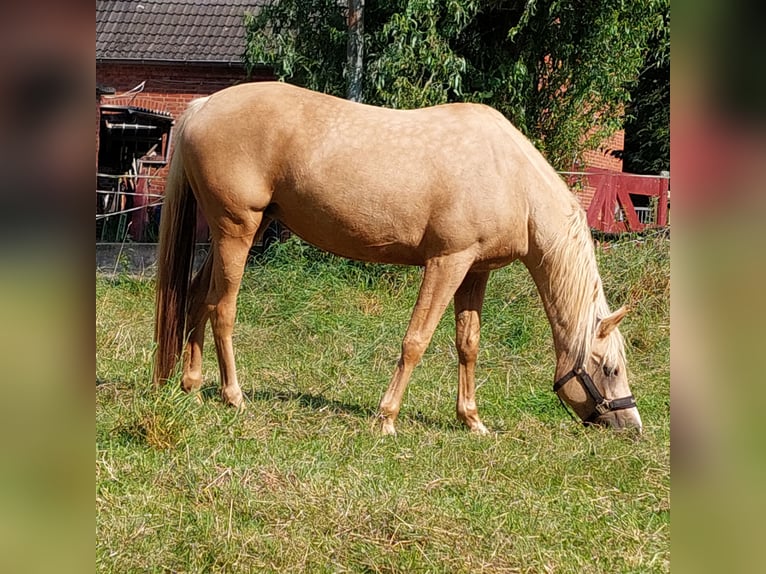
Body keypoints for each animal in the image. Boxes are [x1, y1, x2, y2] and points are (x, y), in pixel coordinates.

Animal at [153, 83, 644, 436]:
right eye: (611, 368)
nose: (631, 426)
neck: (511, 178)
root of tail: (203, 106)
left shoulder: (474, 272)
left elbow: (468, 344)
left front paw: (472, 420)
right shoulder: (447, 262)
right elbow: (416, 341)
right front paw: (386, 418)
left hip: (231, 236)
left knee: (196, 300)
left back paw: (191, 388)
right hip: (237, 230)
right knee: (222, 309)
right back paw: (233, 396)